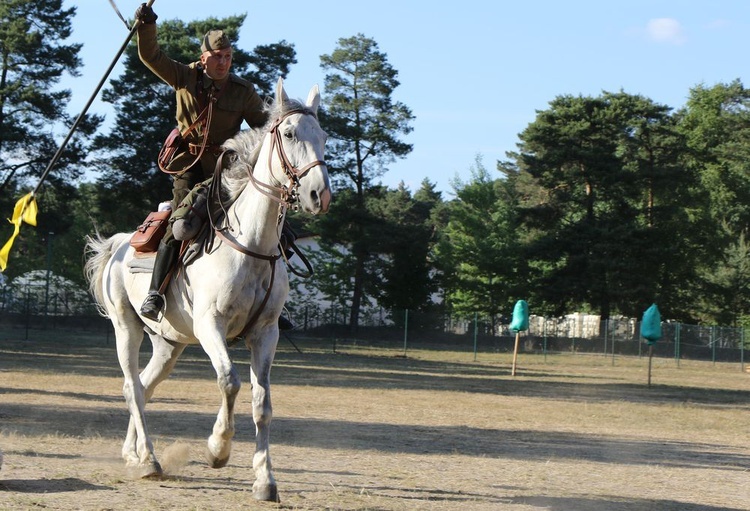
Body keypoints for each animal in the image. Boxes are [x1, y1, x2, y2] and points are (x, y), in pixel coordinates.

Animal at [83, 78, 330, 502]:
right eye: (289, 133)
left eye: (325, 137)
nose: (319, 194)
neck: (250, 244)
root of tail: (118, 244)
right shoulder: (210, 326)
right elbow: (229, 382)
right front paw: (218, 450)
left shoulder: (266, 333)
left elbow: (262, 403)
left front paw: (265, 480)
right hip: (126, 328)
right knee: (132, 387)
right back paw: (149, 460)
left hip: (169, 343)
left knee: (145, 387)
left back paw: (134, 453)